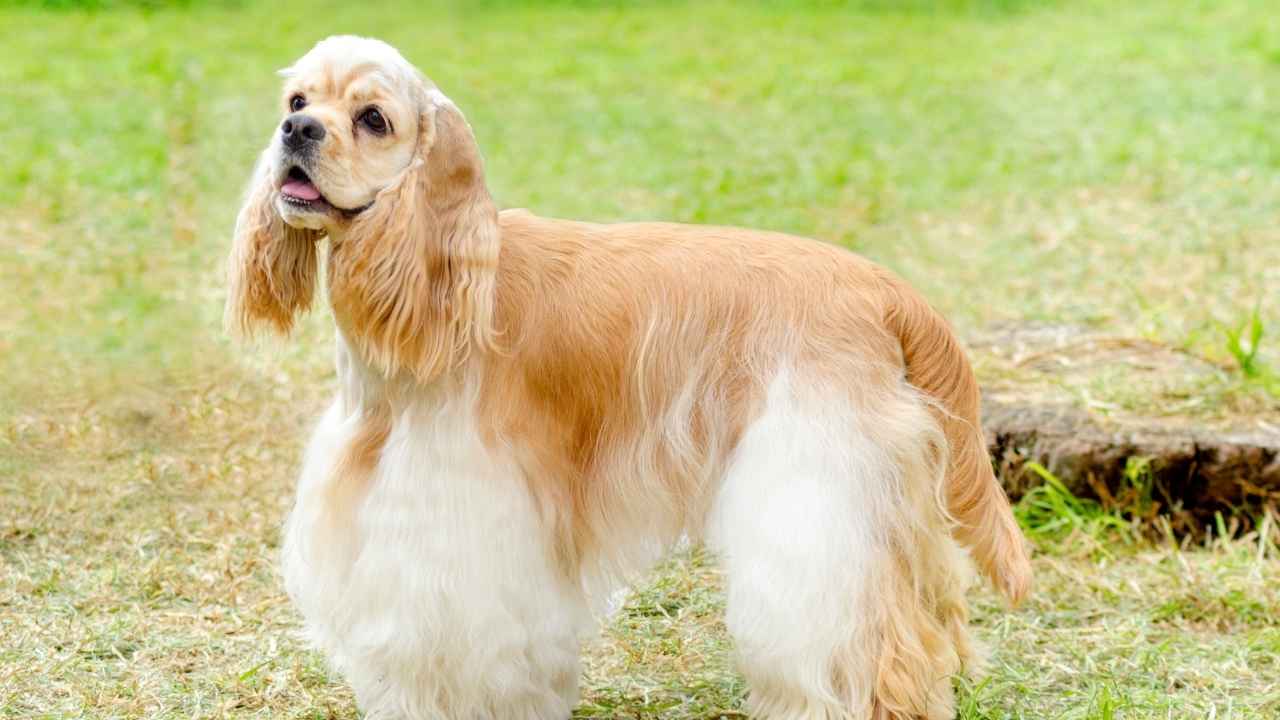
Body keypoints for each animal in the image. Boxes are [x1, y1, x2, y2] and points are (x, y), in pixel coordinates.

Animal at [225, 37, 1034, 717]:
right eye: (297, 100)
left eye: (373, 119)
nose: (297, 133)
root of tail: (885, 288)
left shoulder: (466, 521)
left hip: (818, 490)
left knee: (868, 644)